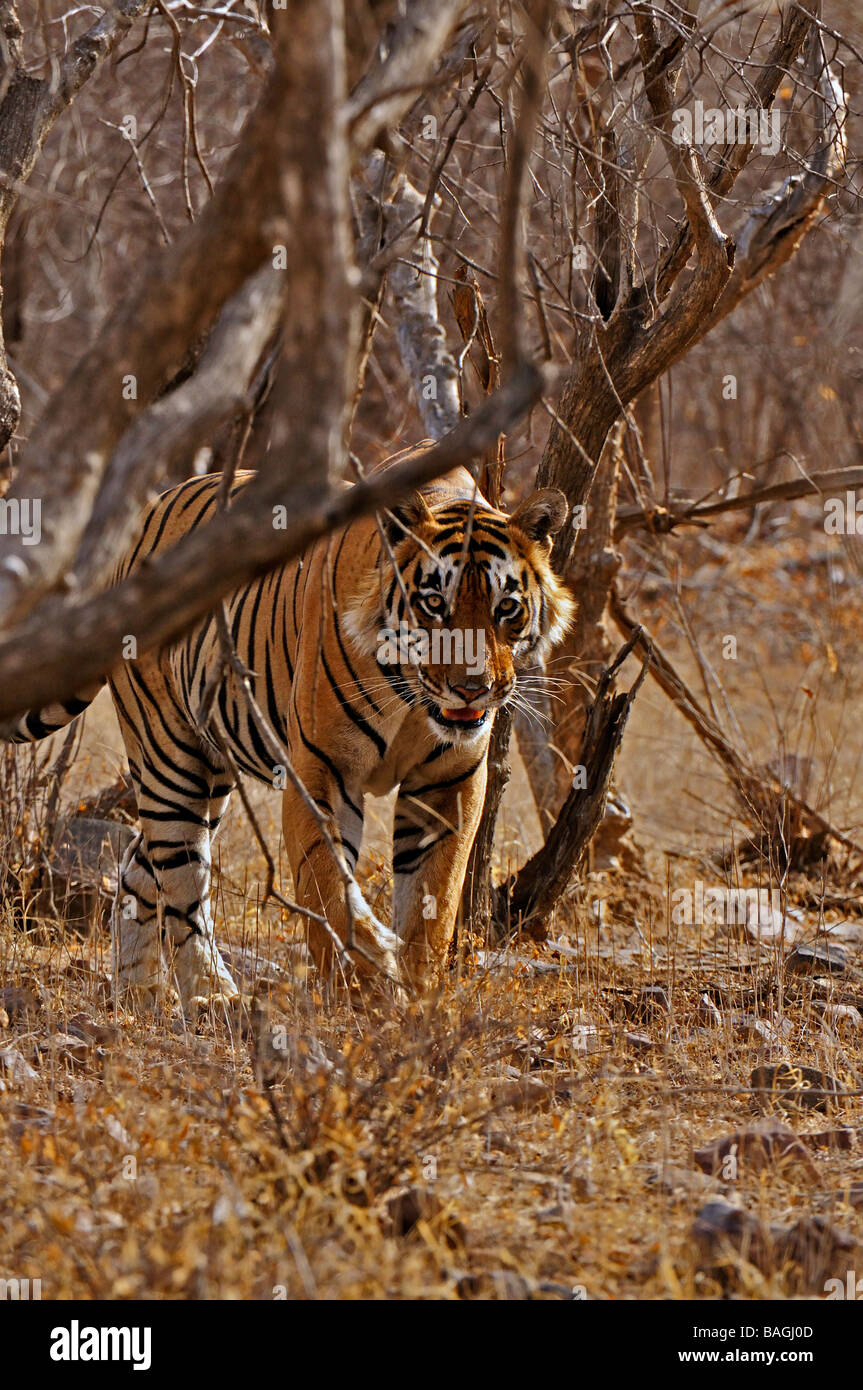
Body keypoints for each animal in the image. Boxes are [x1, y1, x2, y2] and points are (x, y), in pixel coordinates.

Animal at [8, 453, 572, 1011]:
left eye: (506, 608)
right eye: (434, 604)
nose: (472, 689)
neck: (413, 700)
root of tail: (147, 516)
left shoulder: (449, 781)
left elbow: (434, 898)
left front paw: (416, 998)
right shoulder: (322, 769)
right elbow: (327, 885)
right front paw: (363, 983)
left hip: (212, 770)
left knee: (137, 866)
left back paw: (137, 996)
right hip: (170, 755)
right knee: (181, 876)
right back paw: (211, 994)